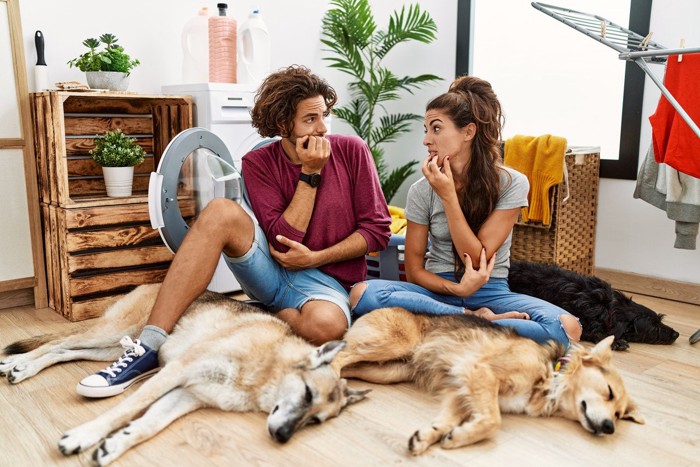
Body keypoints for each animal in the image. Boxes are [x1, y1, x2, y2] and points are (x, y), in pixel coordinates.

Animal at [1, 284, 366, 466]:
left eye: (316, 421)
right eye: (307, 393)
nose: (282, 437)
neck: (265, 368)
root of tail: (153, 283)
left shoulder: (186, 395)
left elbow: (147, 425)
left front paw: (115, 445)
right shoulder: (176, 372)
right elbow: (125, 410)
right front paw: (85, 434)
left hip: (109, 347)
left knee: (64, 351)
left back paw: (21, 366)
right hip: (112, 332)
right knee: (58, 342)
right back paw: (16, 364)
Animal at [334, 308, 644, 456]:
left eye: (619, 415)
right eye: (608, 392)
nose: (609, 428)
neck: (550, 375)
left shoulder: (461, 391)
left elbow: (447, 421)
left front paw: (431, 436)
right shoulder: (480, 371)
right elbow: (493, 421)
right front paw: (458, 437)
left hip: (388, 371)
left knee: (350, 365)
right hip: (393, 344)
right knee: (338, 355)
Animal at [506, 260, 680, 352]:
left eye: (660, 320)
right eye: (654, 328)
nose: (676, 334)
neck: (609, 309)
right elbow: (595, 332)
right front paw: (616, 341)